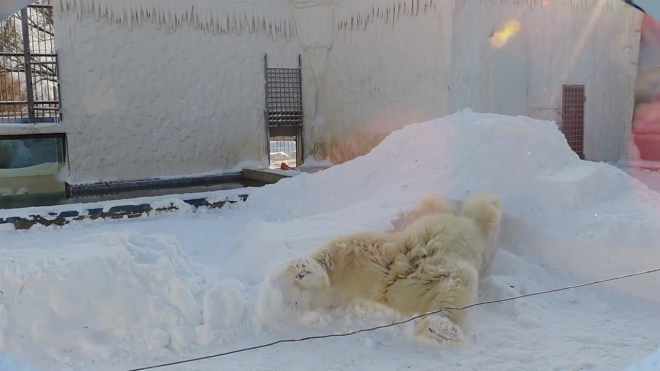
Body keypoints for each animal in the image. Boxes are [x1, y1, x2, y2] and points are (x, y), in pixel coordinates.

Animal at [282, 192, 502, 346]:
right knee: (347, 247)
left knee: (456, 286)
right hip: (385, 250)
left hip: (422, 273)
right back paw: (304, 269)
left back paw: (442, 326)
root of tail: (391, 288)